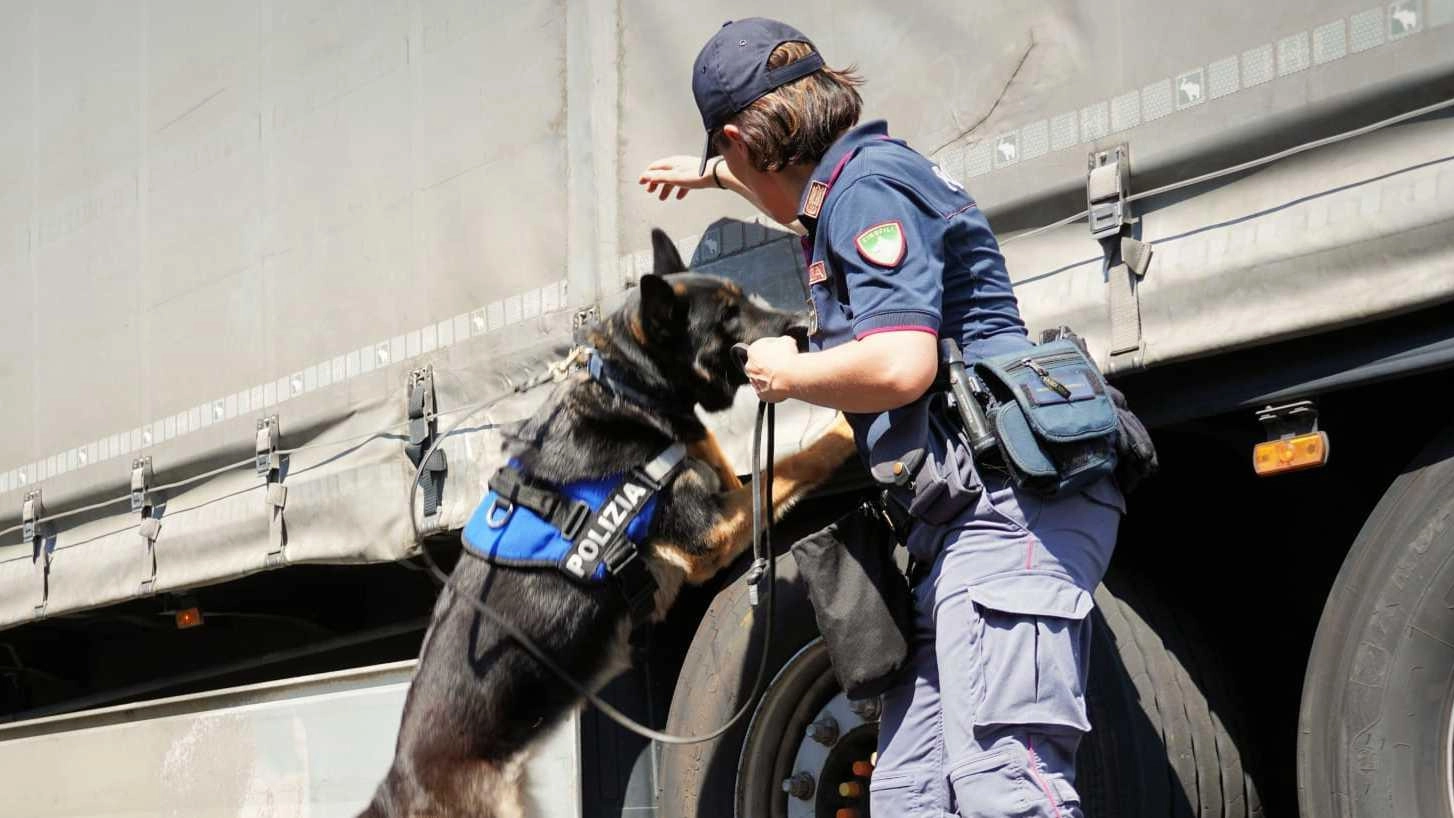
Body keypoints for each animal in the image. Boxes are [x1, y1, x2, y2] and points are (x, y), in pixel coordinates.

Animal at [362, 231, 854, 818]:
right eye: (728, 316)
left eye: (746, 299)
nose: (804, 323)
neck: (627, 390)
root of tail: (394, 783)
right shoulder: (707, 533)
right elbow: (794, 463)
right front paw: (849, 424)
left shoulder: (717, 482)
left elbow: (765, 465)